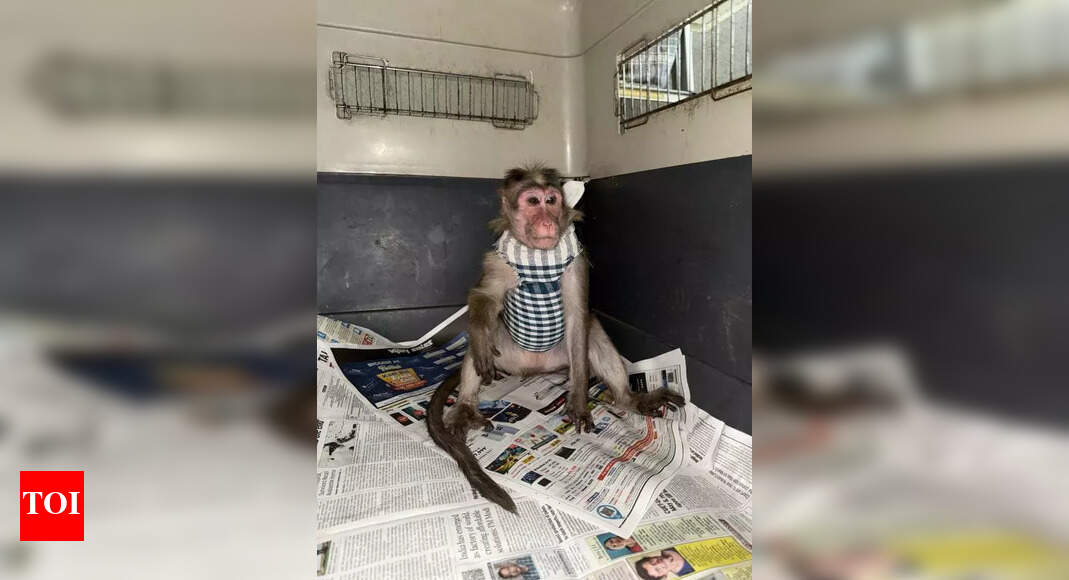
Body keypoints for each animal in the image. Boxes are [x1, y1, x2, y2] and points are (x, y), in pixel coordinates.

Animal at [428, 164, 685, 513]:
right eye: (532, 201)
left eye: (551, 200)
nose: (548, 221)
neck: (539, 257)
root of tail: (534, 369)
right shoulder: (497, 262)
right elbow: (485, 299)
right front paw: (479, 338)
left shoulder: (575, 265)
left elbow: (578, 318)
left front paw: (577, 402)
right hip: (507, 352)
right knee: (484, 337)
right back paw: (466, 405)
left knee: (592, 330)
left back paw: (629, 399)